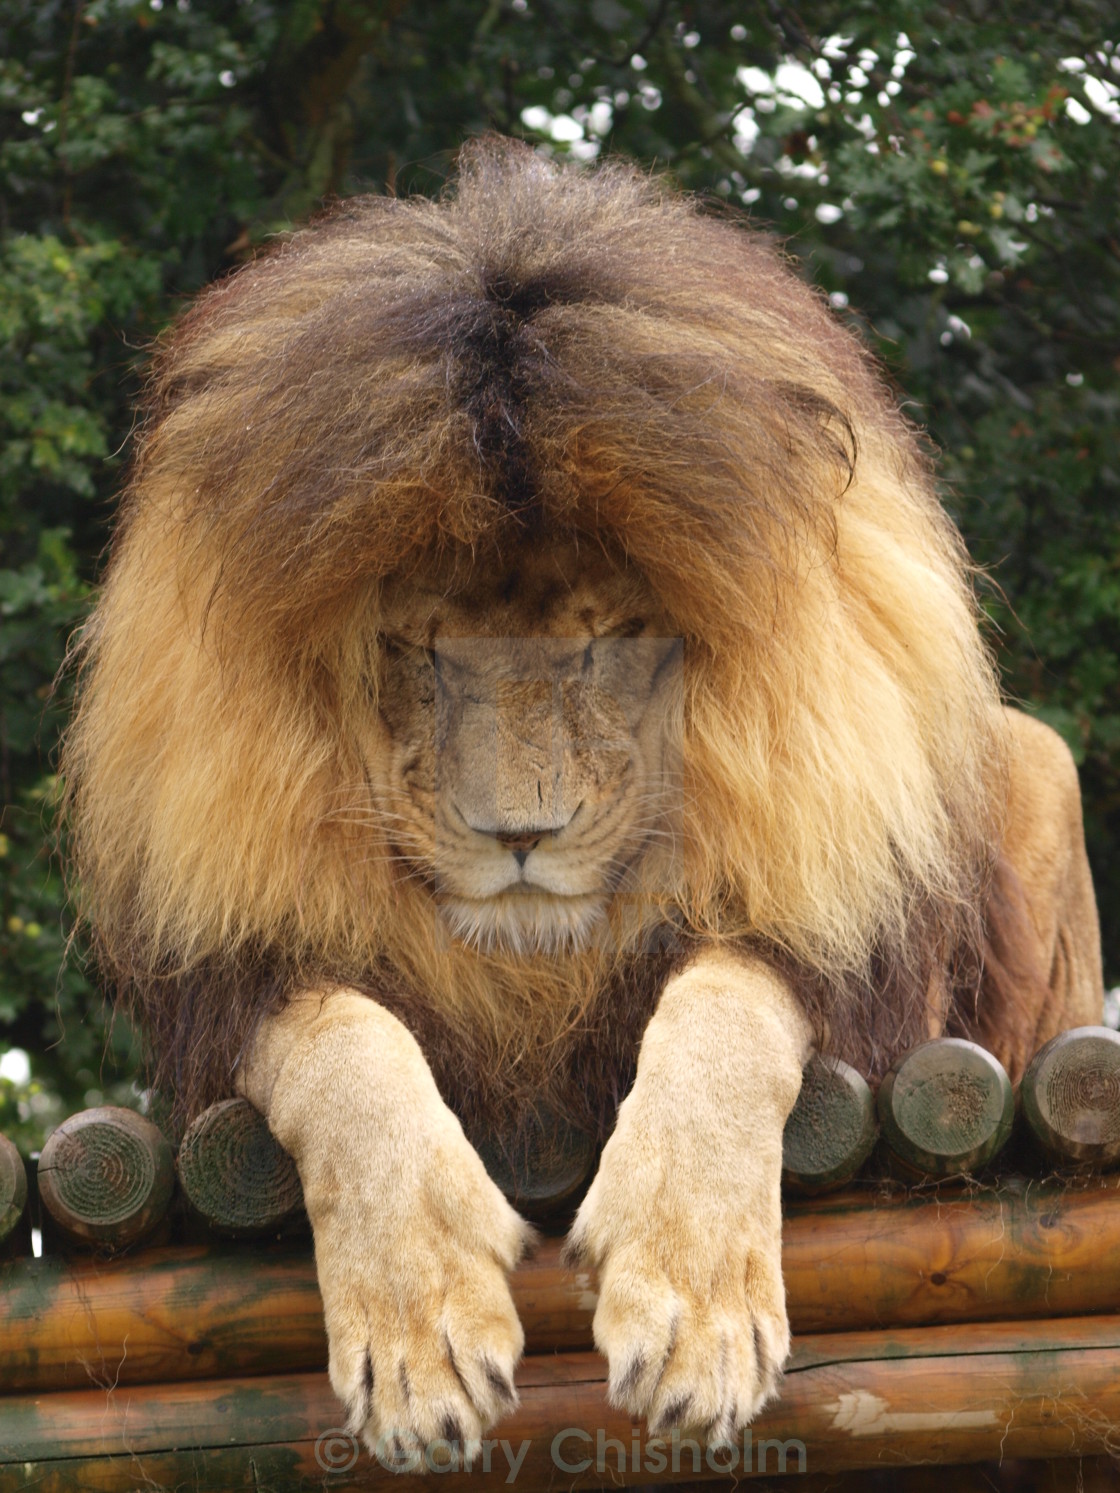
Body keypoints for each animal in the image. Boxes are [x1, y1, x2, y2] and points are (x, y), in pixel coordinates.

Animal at [63, 142, 1105, 1457]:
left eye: (607, 636)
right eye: (421, 643)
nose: (521, 834)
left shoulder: (823, 940)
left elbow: (723, 1015)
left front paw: (696, 1315)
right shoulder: (239, 972)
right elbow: (345, 1053)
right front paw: (421, 1335)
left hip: (1037, 758)